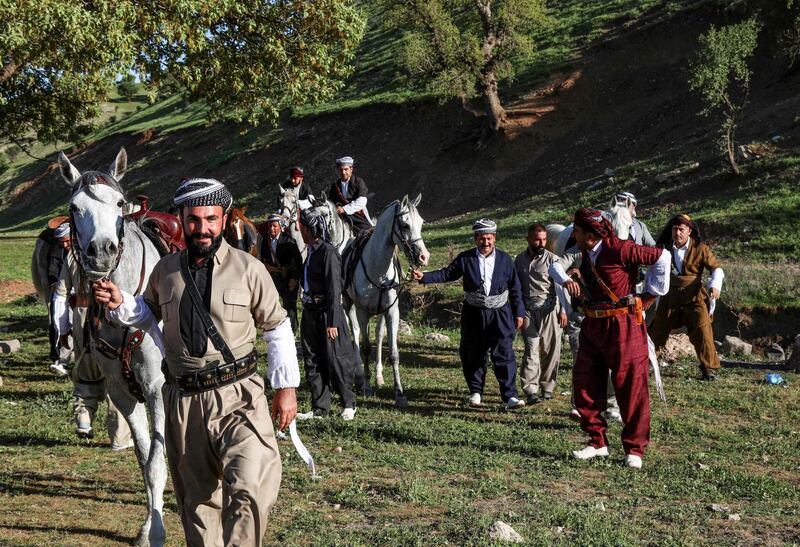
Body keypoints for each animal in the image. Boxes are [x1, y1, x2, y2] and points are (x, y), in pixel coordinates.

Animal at [59, 148, 167, 544]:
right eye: (74, 207)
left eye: (119, 203)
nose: (102, 252)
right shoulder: (123, 391)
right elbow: (146, 459)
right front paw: (150, 525)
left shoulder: (156, 387)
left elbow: (157, 461)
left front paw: (156, 529)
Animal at [310, 195, 428, 404]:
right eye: (405, 225)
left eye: (421, 223)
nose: (424, 256)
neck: (378, 268)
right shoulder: (362, 311)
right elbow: (364, 347)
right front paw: (366, 385)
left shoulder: (392, 311)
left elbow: (393, 352)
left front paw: (399, 392)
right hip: (349, 305)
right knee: (355, 334)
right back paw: (359, 375)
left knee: (379, 335)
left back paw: (379, 376)